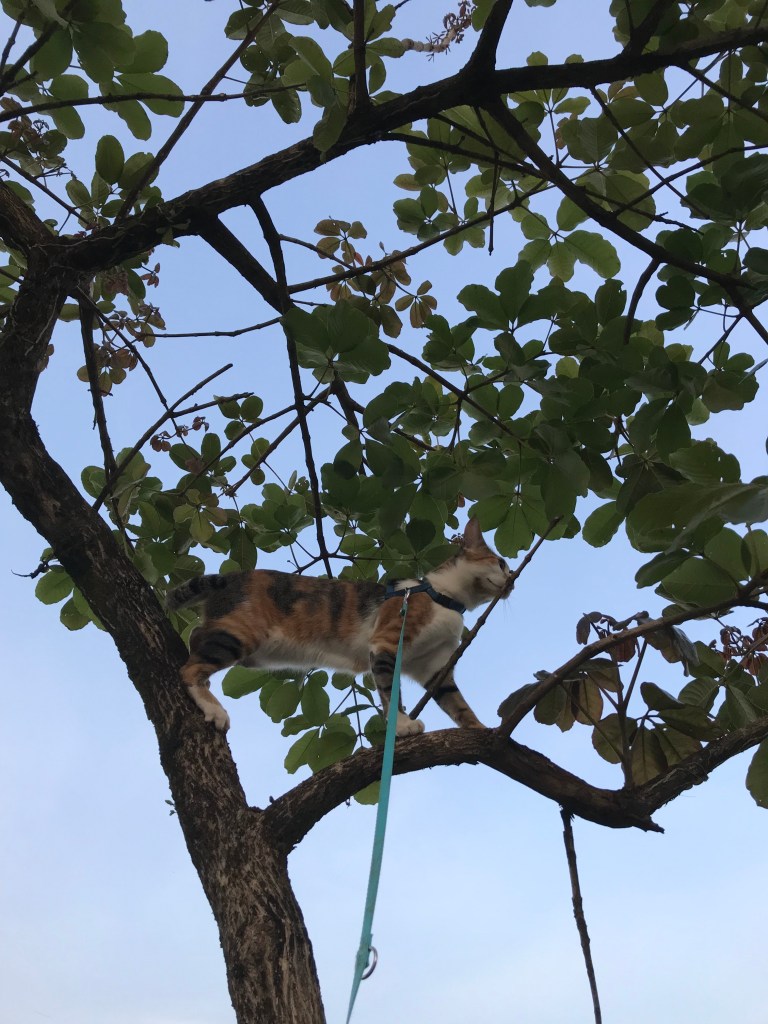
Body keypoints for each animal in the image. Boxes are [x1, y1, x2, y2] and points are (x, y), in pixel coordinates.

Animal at [166, 518, 512, 736]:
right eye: (501, 563)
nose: (512, 581)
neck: (442, 597)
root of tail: (229, 577)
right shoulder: (387, 643)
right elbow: (390, 691)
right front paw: (401, 726)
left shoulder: (434, 666)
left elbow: (457, 702)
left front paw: (482, 732)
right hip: (242, 633)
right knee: (188, 669)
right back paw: (214, 709)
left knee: (197, 637)